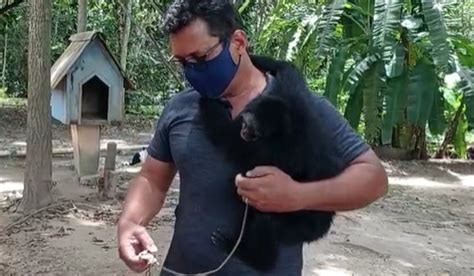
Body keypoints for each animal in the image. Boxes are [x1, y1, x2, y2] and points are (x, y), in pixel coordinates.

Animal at [198, 56, 338, 272]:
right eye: (245, 122)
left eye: (251, 127)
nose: (244, 129)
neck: (287, 128)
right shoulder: (296, 102)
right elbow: (290, 73)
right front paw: (257, 58)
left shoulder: (266, 148)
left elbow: (226, 137)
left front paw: (206, 101)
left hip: (297, 222)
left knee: (267, 219)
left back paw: (254, 257)